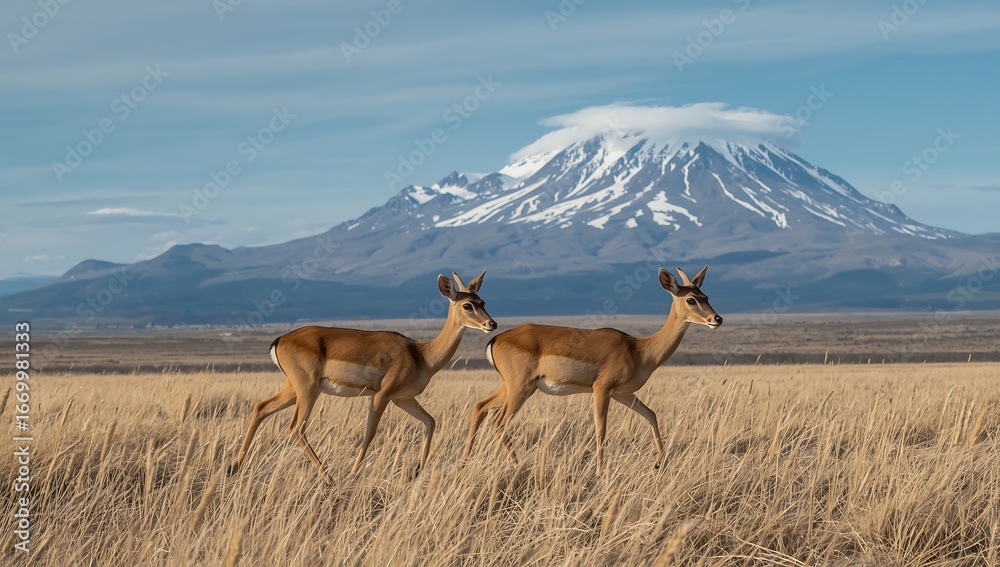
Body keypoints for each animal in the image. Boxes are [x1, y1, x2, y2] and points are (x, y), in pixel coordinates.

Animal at [228, 271, 496, 484]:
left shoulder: (403, 398)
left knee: (261, 407)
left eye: (483, 301)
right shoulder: (382, 396)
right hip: (307, 390)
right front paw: (353, 474)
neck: (421, 355)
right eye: (467, 305)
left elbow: (430, 422)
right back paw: (329, 478)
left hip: (293, 390)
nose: (491, 324)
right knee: (296, 427)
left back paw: (234, 468)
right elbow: (370, 434)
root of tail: (280, 339)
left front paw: (417, 472)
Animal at [461, 266, 721, 469]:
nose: (717, 319)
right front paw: (600, 472)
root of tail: (497, 338)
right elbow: (601, 430)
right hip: (520, 389)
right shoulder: (601, 389)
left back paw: (467, 462)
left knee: (480, 407)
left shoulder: (623, 393)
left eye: (706, 295)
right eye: (691, 299)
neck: (639, 350)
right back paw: (515, 464)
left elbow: (651, 414)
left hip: (513, 387)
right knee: (499, 421)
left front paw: (660, 462)